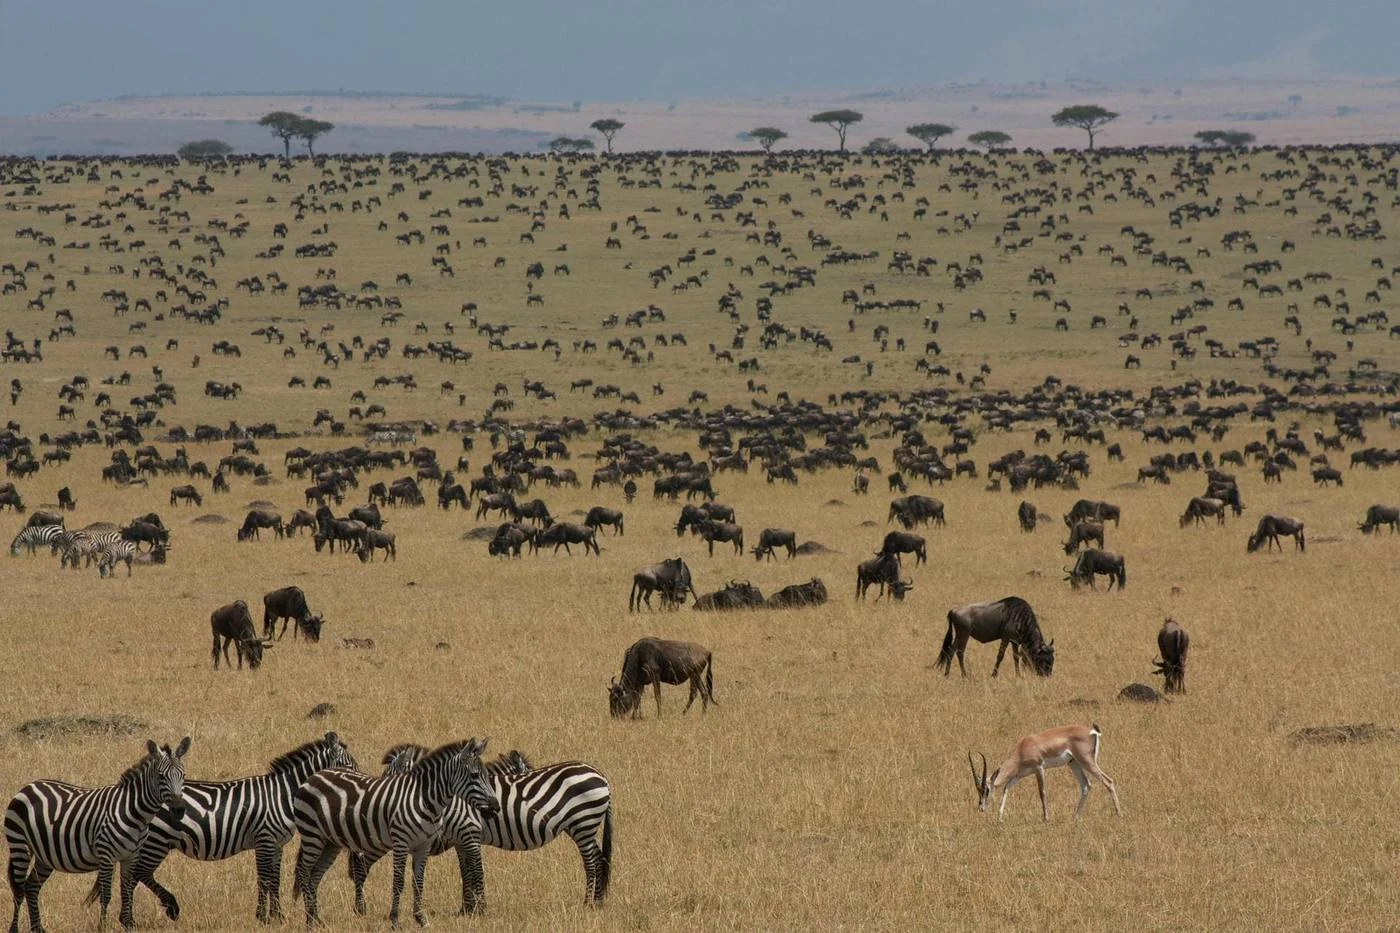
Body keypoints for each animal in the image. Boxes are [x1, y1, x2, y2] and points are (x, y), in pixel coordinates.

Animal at [5, 738, 191, 933]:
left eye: (183, 775)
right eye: (161, 776)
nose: (179, 810)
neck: (134, 812)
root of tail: (28, 786)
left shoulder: (130, 856)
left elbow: (126, 891)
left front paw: (128, 923)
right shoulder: (106, 855)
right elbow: (106, 895)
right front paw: (103, 927)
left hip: (44, 855)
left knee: (31, 887)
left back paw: (37, 928)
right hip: (20, 846)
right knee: (19, 889)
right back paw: (14, 929)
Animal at [113, 732, 357, 926]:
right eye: (350, 767)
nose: (359, 781)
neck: (282, 794)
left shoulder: (277, 844)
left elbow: (275, 879)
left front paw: (278, 916)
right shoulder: (264, 838)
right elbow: (264, 878)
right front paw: (263, 917)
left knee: (137, 875)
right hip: (158, 841)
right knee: (138, 874)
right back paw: (154, 912)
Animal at [291, 738, 496, 928]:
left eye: (486, 775)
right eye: (474, 775)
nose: (496, 807)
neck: (424, 800)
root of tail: (314, 776)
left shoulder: (423, 846)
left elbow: (418, 882)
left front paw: (421, 919)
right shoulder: (401, 842)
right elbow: (398, 882)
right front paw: (396, 920)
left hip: (330, 842)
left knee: (314, 875)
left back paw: (316, 919)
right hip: (312, 835)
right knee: (304, 872)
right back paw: (309, 921)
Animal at [351, 745, 614, 910]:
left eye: (388, 775)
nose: (373, 802)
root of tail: (601, 775)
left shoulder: (468, 831)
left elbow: (475, 870)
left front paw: (478, 909)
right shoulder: (459, 837)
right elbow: (466, 871)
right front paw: (467, 908)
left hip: (583, 822)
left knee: (592, 861)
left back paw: (588, 903)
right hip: (583, 825)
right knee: (600, 858)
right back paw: (598, 902)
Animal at [969, 723, 1121, 822]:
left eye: (986, 790)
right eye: (978, 790)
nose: (981, 807)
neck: (1022, 748)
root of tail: (1092, 731)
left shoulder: (1039, 768)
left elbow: (1042, 792)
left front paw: (1046, 818)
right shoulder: (1018, 775)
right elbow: (1006, 788)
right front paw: (999, 818)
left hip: (1086, 761)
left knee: (1108, 781)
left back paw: (1119, 814)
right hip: (1074, 763)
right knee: (1086, 785)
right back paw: (1075, 817)